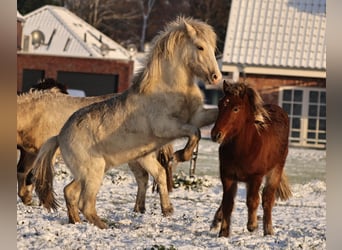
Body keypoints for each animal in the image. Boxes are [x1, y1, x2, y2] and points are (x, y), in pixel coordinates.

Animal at [17, 78, 172, 211]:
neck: (36, 114)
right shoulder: (30, 152)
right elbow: (23, 171)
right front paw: (26, 197)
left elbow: (34, 174)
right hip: (133, 156)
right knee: (142, 178)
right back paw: (139, 209)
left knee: (156, 174)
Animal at [210, 81, 292, 237]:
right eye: (219, 104)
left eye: (236, 108)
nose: (215, 134)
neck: (244, 149)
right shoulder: (227, 176)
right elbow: (228, 203)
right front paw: (223, 232)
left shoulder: (256, 177)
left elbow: (253, 200)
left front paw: (252, 225)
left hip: (276, 169)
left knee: (267, 199)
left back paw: (268, 230)